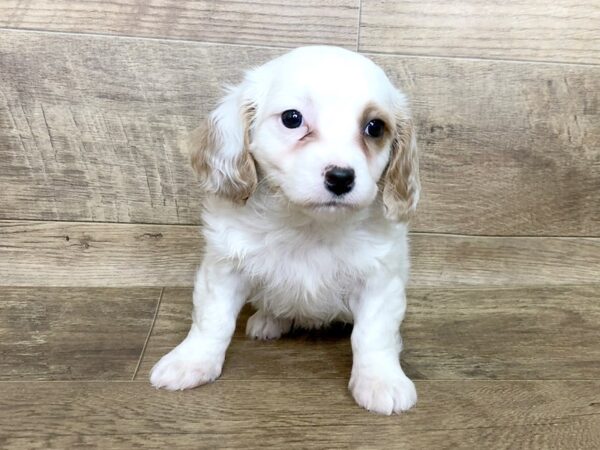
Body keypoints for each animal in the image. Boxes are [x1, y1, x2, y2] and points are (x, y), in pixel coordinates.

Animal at [151, 45, 422, 414]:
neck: (306, 223)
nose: (341, 177)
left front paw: (381, 380)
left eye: (375, 127)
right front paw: (191, 362)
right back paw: (269, 320)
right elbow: (212, 320)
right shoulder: (223, 268)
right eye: (292, 118)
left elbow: (373, 334)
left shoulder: (381, 280)